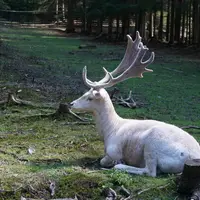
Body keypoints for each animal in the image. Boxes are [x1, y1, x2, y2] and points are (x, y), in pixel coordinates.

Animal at [70, 31, 200, 177]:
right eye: (85, 93)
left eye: (90, 97)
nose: (71, 104)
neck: (109, 131)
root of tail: (193, 157)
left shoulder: (114, 150)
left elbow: (104, 160)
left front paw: (116, 162)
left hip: (152, 144)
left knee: (150, 171)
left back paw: (120, 166)